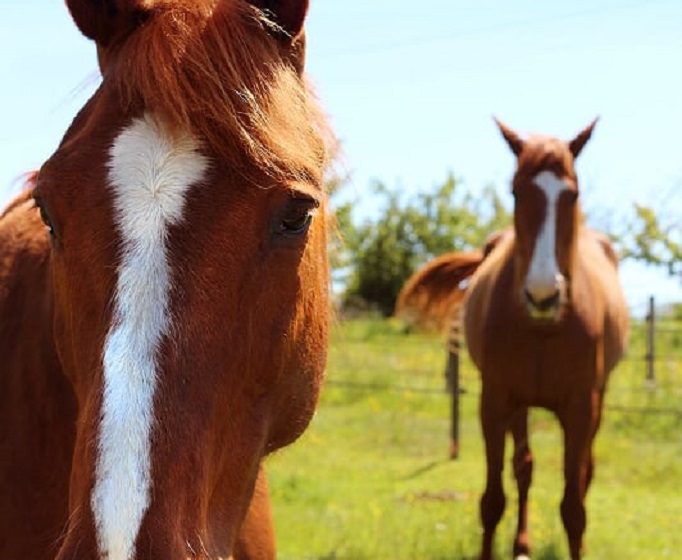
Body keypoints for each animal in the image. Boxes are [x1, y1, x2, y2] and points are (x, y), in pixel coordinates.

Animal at [398, 121, 628, 560]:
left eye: (572, 194)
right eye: (517, 192)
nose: (543, 295)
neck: (542, 327)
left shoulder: (581, 407)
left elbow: (574, 507)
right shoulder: (496, 401)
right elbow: (493, 500)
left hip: (598, 396)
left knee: (583, 472)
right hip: (520, 405)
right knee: (524, 466)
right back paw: (522, 544)